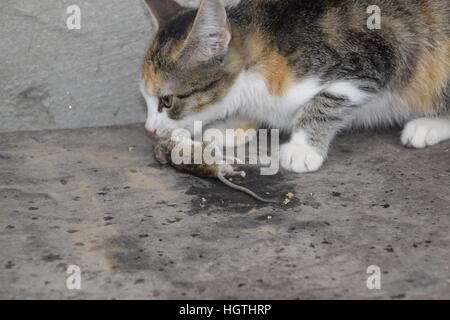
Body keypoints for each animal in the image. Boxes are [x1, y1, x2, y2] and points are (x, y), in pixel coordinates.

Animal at [139, 0, 448, 172]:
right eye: (145, 99)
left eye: (166, 101)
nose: (149, 129)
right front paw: (231, 127)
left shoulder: (375, 56)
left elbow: (326, 101)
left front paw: (303, 148)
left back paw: (427, 125)